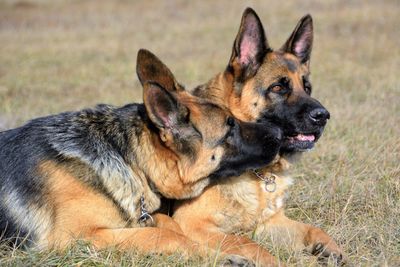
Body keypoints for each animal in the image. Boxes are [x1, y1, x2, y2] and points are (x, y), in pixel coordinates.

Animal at [0, 47, 282, 260]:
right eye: (229, 127)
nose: (280, 134)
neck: (131, 162)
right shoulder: (76, 236)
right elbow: (163, 234)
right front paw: (222, 258)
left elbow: (172, 225)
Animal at [170, 7, 346, 266]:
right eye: (278, 88)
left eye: (307, 88)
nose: (323, 116)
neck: (257, 173)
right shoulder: (193, 223)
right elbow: (248, 242)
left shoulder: (270, 222)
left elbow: (312, 229)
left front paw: (329, 247)